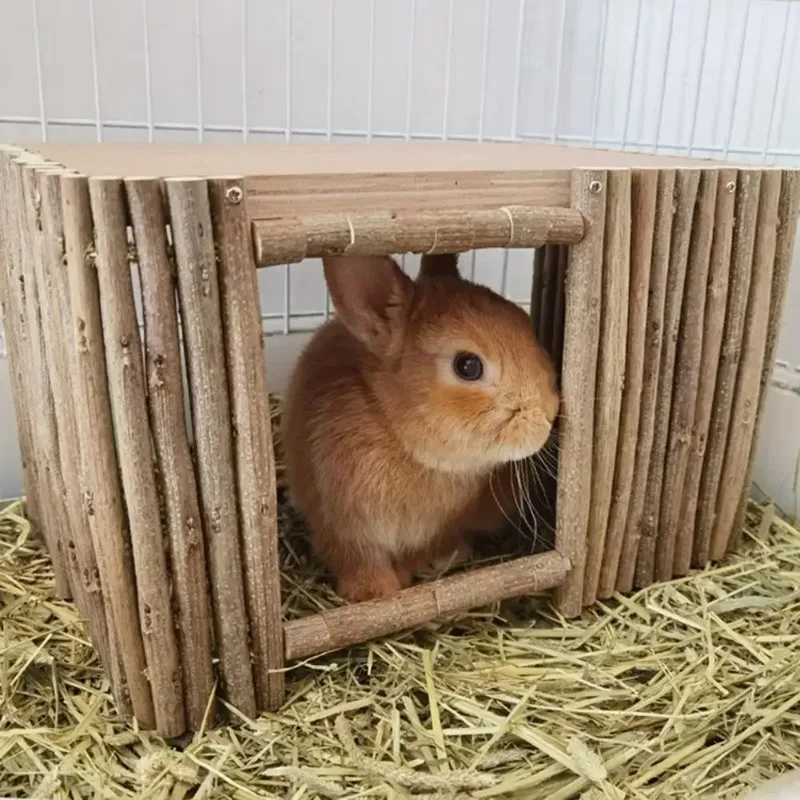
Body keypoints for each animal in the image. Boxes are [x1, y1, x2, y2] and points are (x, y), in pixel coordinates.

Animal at [282, 251, 559, 603]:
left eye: (525, 321)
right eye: (468, 366)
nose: (549, 414)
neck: (398, 436)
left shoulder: (437, 530)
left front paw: (402, 578)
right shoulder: (340, 522)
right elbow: (357, 559)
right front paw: (373, 593)